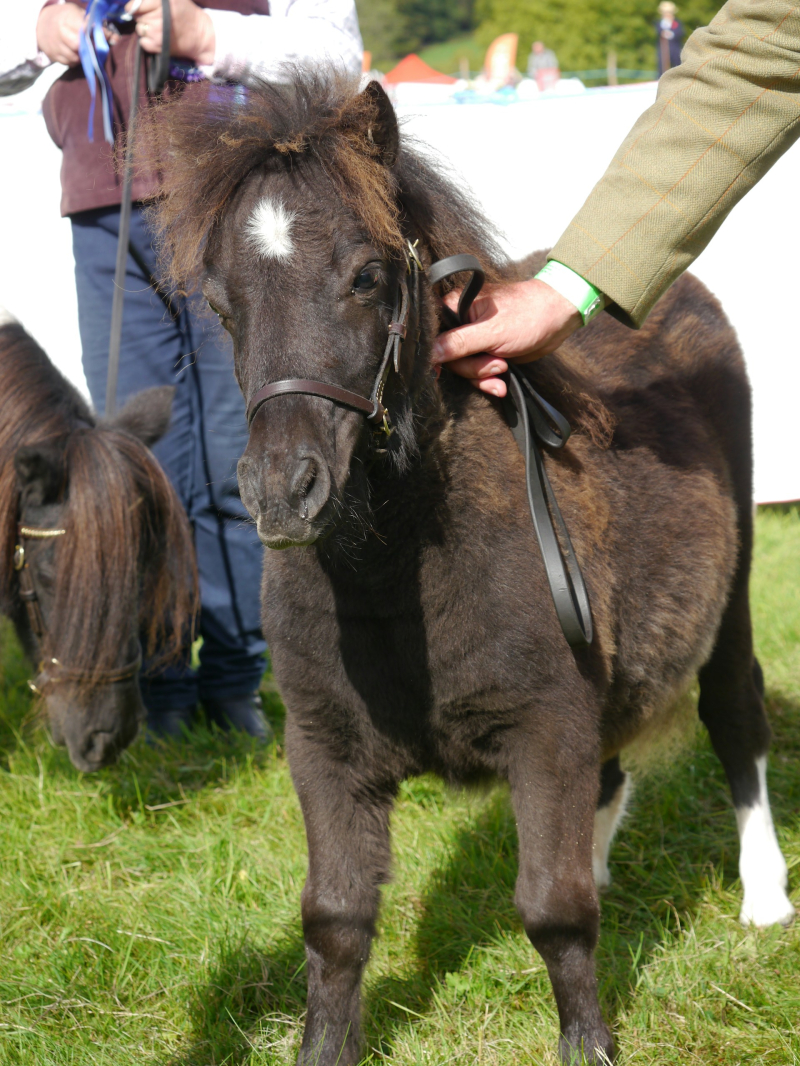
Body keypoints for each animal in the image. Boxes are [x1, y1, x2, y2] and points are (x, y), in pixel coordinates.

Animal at [139, 77, 797, 1066]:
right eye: (222, 300)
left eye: (368, 276)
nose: (283, 492)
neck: (397, 574)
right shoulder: (326, 747)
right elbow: (335, 918)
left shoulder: (545, 726)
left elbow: (555, 910)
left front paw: (588, 1046)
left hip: (731, 587)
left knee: (733, 711)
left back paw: (763, 897)